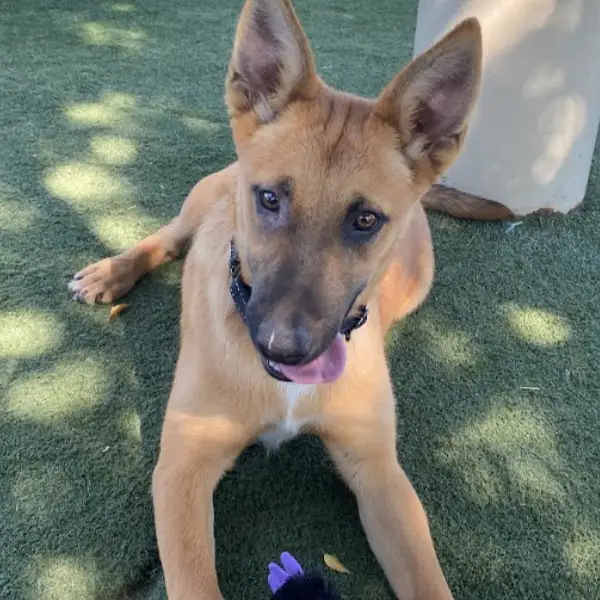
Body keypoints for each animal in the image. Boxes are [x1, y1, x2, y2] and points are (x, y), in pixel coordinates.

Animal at [70, 1, 490, 600]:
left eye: (367, 220)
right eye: (269, 198)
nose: (283, 347)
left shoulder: (381, 474)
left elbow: (429, 581)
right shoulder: (181, 468)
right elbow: (194, 582)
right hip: (204, 198)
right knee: (167, 237)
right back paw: (109, 273)